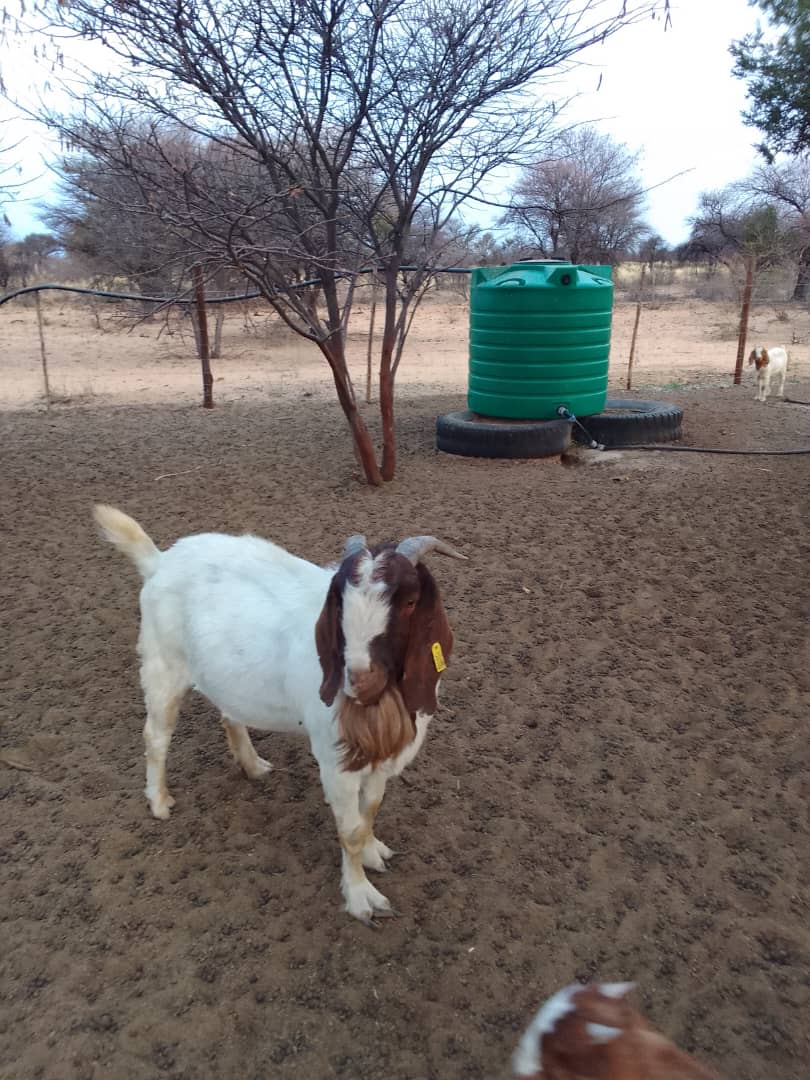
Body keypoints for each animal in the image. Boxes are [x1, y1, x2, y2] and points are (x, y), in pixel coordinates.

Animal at [92, 503, 466, 920]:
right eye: (341, 604)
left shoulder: (381, 758)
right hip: (163, 664)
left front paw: (375, 853)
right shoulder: (336, 761)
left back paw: (252, 766)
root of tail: (158, 561)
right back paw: (158, 801)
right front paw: (360, 897)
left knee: (228, 713)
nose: (358, 680)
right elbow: (350, 831)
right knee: (156, 735)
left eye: (409, 602)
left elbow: (370, 810)